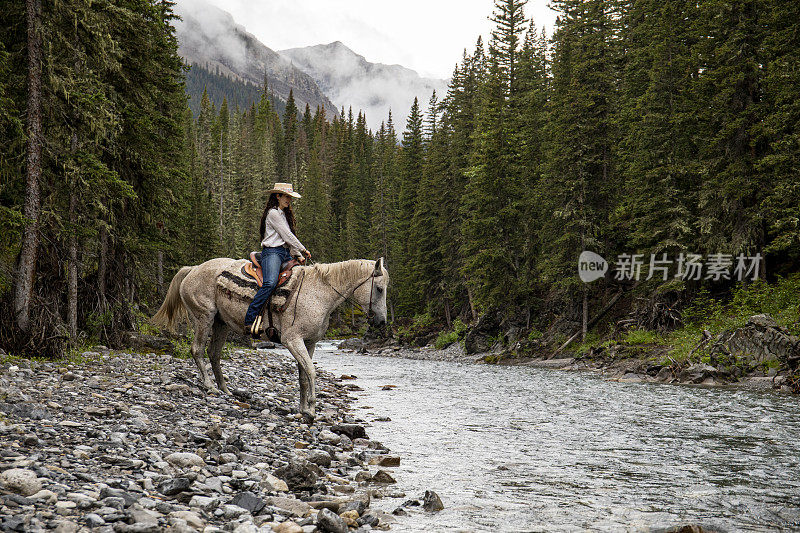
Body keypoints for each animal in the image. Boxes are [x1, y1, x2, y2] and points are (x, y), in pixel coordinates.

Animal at [152, 258, 390, 420]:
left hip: (221, 323)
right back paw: (210, 386)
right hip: (204, 318)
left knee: (214, 353)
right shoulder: (292, 341)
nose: (381, 322)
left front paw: (303, 409)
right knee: (197, 350)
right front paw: (312, 409)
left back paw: (225, 389)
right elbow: (311, 371)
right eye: (379, 289)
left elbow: (303, 376)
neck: (318, 294)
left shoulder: (310, 343)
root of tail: (192, 269)